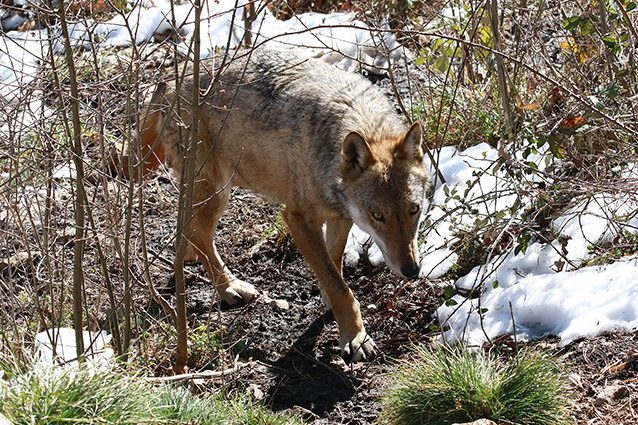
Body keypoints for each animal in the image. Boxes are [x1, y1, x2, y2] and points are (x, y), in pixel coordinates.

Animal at [134, 48, 432, 362]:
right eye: (378, 216)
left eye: (414, 210)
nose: (412, 270)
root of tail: (169, 80)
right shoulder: (297, 219)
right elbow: (340, 287)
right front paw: (355, 337)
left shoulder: (341, 216)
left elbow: (334, 263)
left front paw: (330, 301)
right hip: (217, 192)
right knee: (201, 235)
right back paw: (229, 287)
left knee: (187, 228)